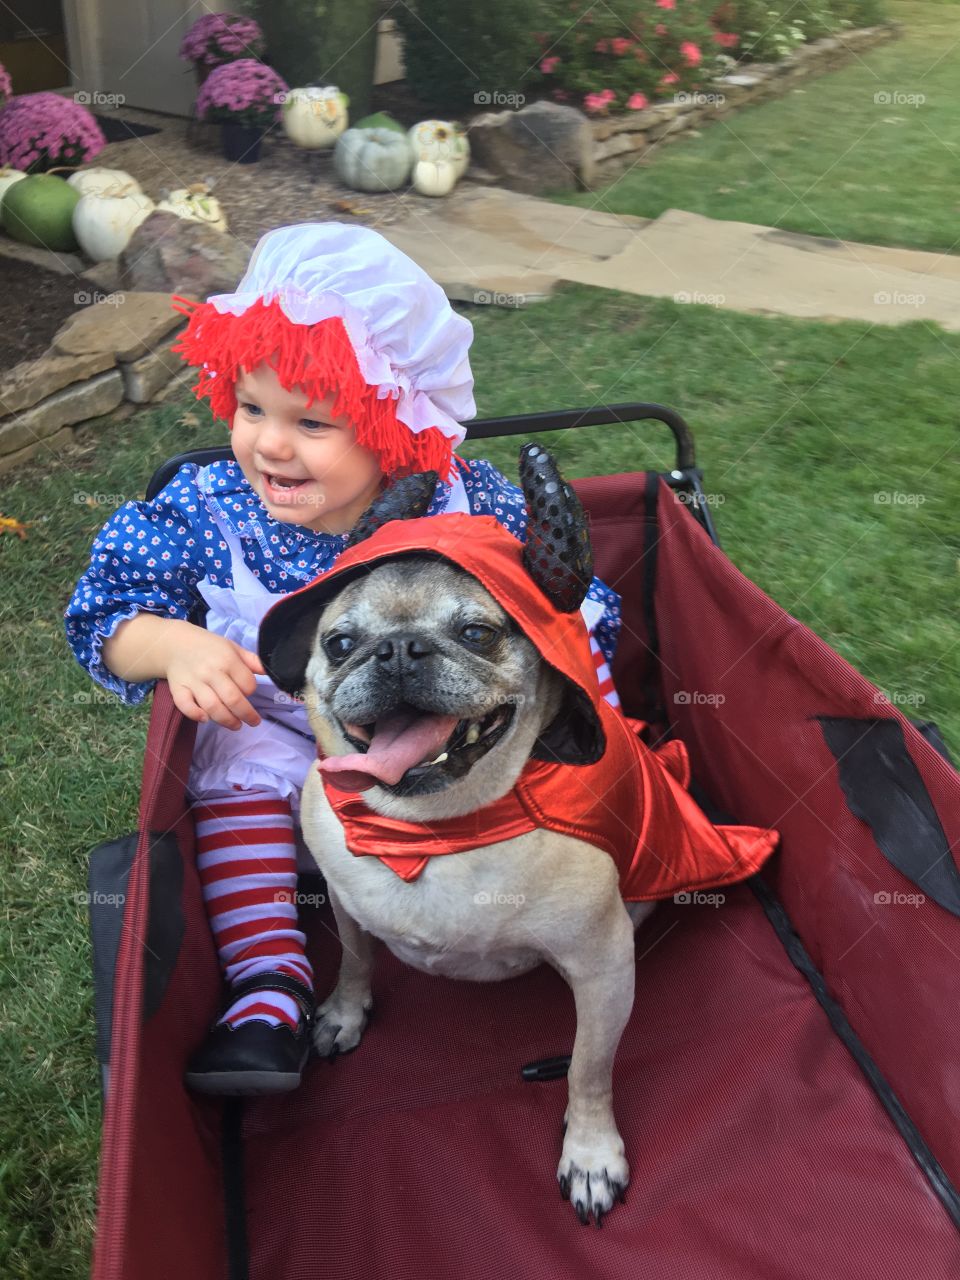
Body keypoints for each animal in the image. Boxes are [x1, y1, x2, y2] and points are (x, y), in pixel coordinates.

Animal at [259, 442, 660, 1228]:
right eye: (340, 643)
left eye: (477, 633)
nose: (398, 650)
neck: (435, 835)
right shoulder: (348, 909)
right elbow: (355, 961)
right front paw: (344, 1013)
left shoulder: (602, 971)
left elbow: (591, 1068)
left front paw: (590, 1152)